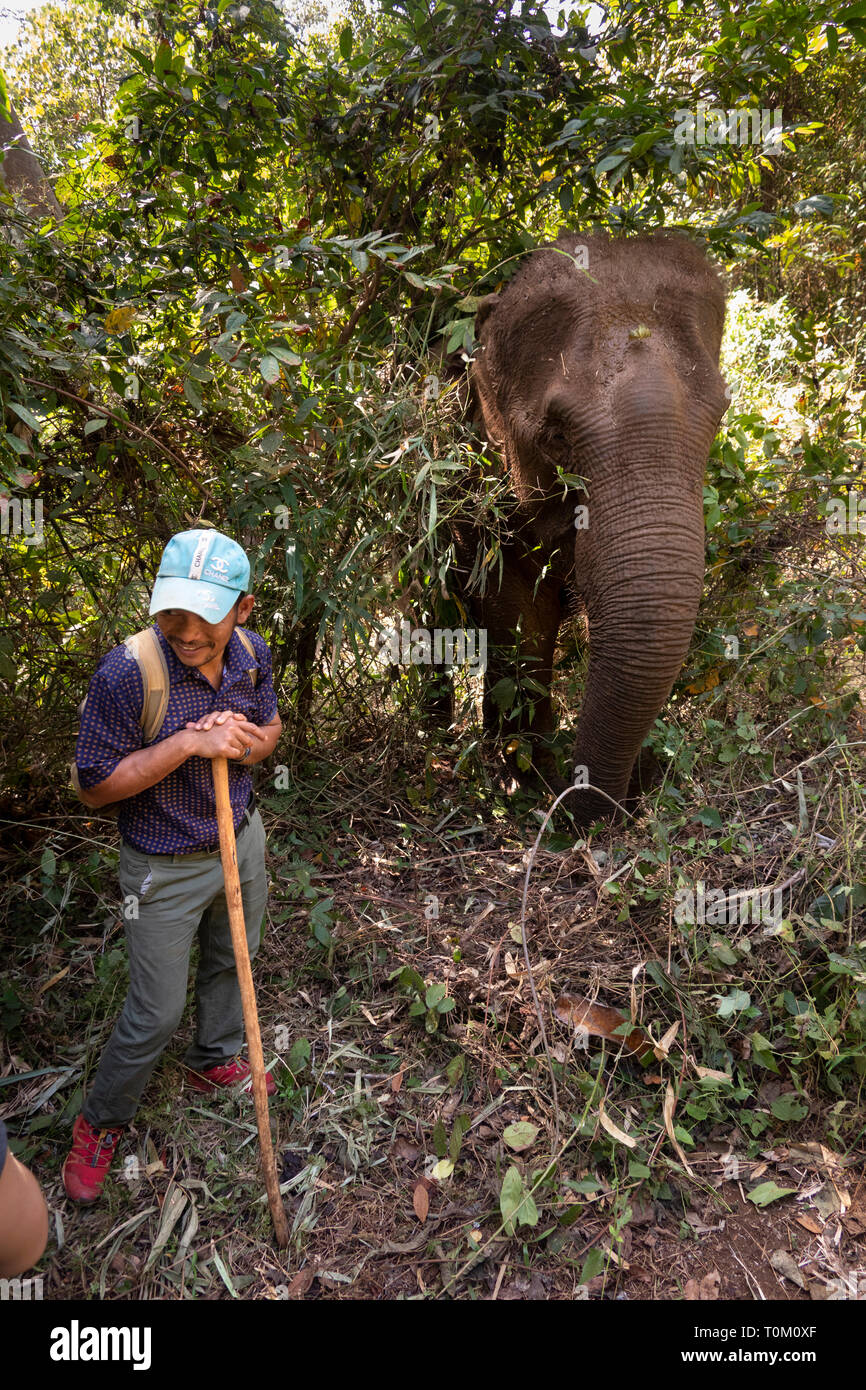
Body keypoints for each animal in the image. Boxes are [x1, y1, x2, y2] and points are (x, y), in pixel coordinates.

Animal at [452, 230, 728, 825]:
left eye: (719, 416)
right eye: (556, 436)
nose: (580, 804)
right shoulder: (484, 486)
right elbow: (519, 614)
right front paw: (521, 782)